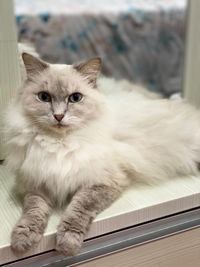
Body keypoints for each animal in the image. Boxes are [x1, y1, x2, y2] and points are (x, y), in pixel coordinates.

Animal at [2, 52, 200, 258]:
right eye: (44, 97)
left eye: (75, 98)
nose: (58, 116)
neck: (61, 143)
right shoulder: (37, 183)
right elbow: (33, 211)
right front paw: (22, 240)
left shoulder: (102, 182)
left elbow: (78, 210)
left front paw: (67, 244)